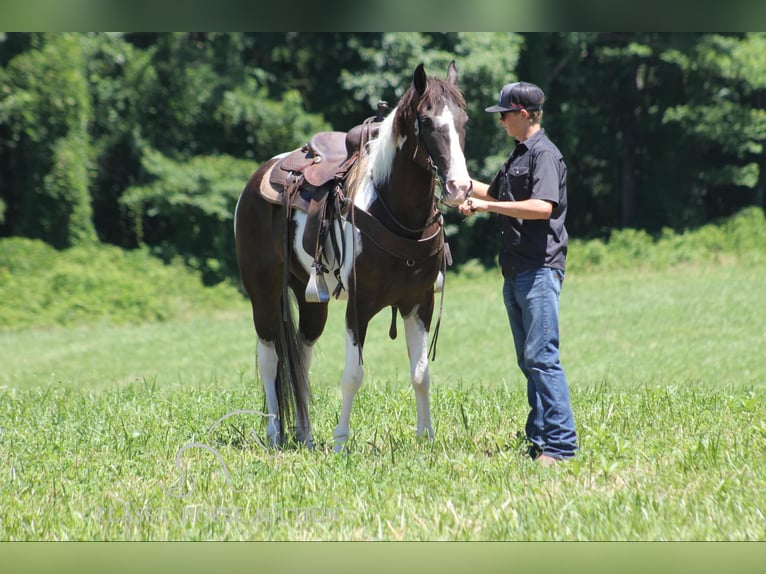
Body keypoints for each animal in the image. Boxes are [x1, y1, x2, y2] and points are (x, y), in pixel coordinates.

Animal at [236, 60, 474, 452]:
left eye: (463, 120)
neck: (395, 213)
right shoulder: (358, 306)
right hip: (263, 293)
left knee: (301, 358)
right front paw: (341, 442)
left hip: (309, 298)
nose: (460, 187)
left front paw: (426, 437)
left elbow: (421, 373)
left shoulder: (419, 303)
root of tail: (257, 179)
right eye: (426, 121)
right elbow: (352, 374)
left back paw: (306, 434)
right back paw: (274, 434)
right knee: (270, 358)